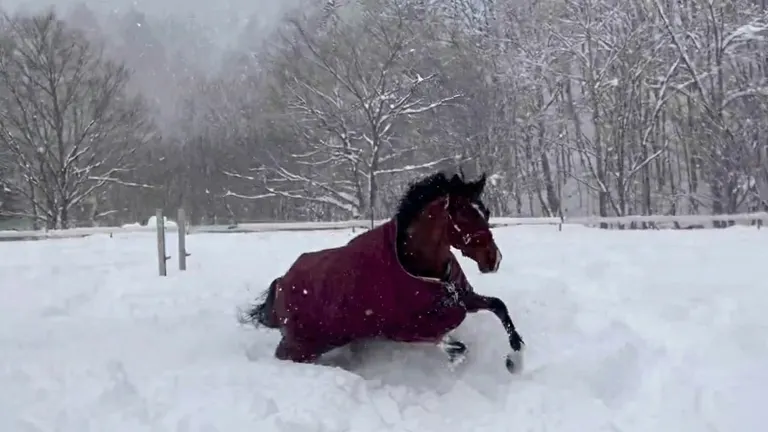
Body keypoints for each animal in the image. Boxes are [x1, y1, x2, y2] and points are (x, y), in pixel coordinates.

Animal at [240, 170, 525, 373]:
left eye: (485, 212)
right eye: (465, 215)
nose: (494, 259)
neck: (416, 269)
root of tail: (280, 283)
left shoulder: (463, 297)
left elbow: (499, 306)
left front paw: (516, 359)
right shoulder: (407, 330)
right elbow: (455, 344)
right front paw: (457, 362)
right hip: (300, 347)